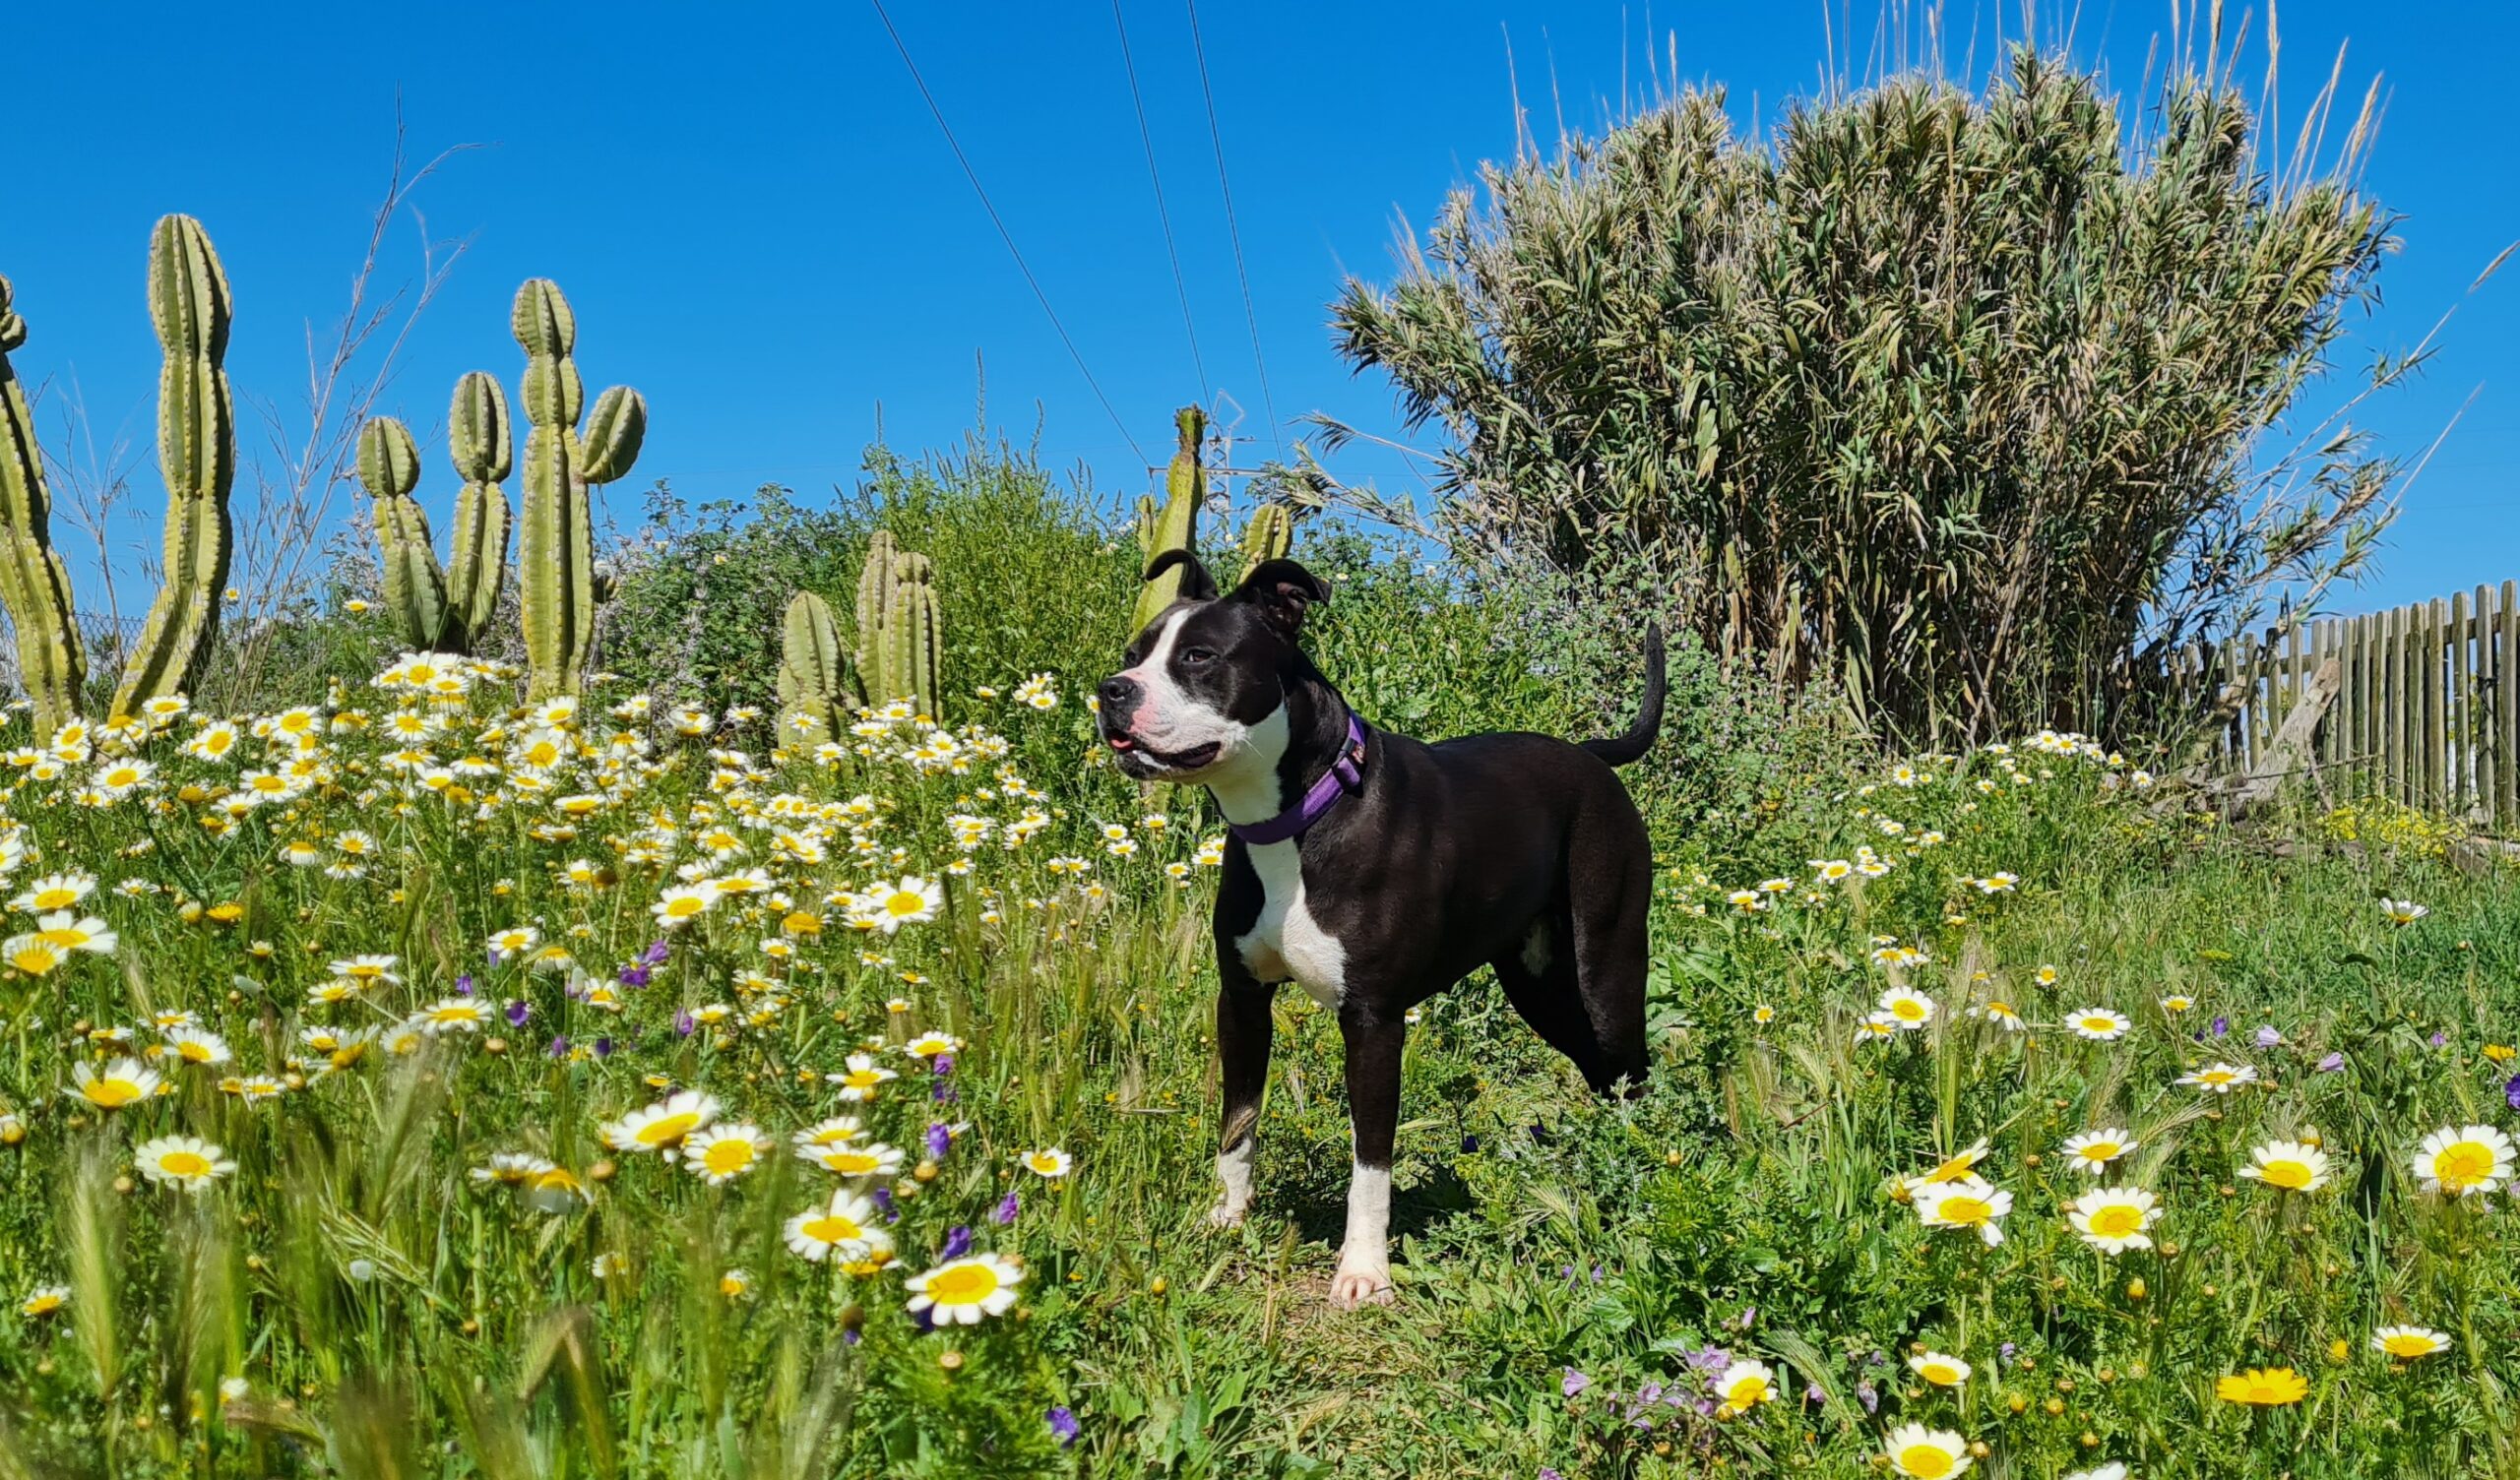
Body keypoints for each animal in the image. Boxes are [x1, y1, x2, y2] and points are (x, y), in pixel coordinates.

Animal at [1094, 551, 1663, 1309]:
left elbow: (1371, 1159)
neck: (1298, 818)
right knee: (1603, 1070)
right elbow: (1237, 1123)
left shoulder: (1373, 1021)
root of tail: (1591, 756)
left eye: (1199, 657)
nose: (1111, 691)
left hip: (1607, 967)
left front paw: (1363, 1269)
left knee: (1632, 1067)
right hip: (1541, 987)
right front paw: (1226, 1219)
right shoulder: (1241, 1001)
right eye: (1134, 655)